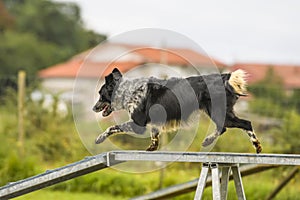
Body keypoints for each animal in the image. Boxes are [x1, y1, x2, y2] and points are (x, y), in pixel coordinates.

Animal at [92, 68, 262, 153]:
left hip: (219, 113)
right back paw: (208, 141)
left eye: (101, 94)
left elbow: (112, 127)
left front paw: (99, 138)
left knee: (244, 123)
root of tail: (225, 77)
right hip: (220, 112)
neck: (129, 91)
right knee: (227, 127)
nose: (93, 108)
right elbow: (154, 135)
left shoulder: (138, 124)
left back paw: (257, 146)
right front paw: (152, 148)